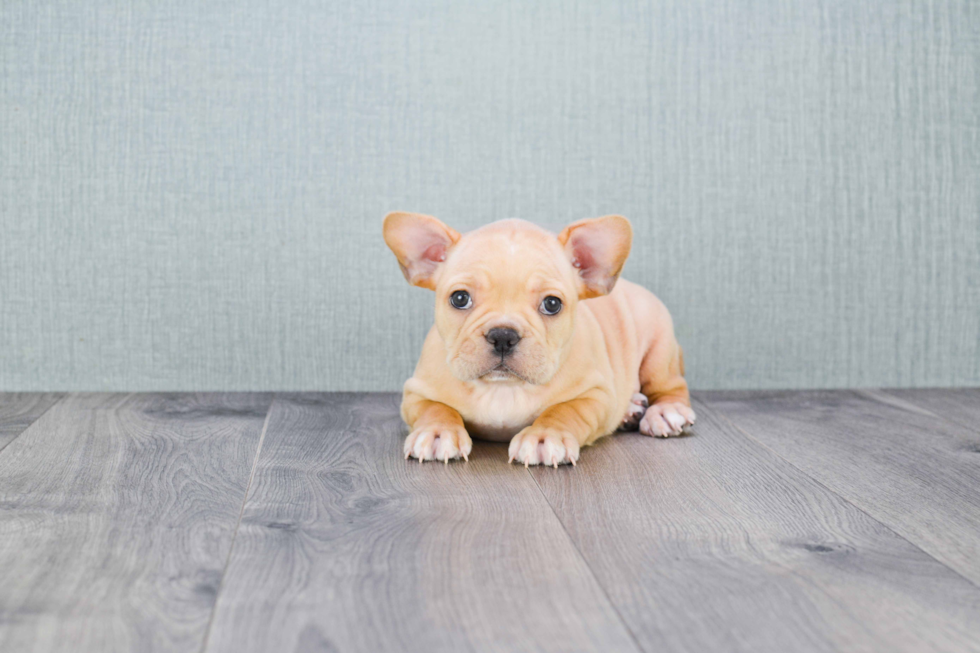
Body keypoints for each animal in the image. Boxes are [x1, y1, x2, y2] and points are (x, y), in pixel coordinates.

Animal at [378, 211, 692, 466]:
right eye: (459, 298)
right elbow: (435, 408)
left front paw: (545, 436)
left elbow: (564, 410)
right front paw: (437, 431)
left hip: (659, 348)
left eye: (552, 304)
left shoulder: (595, 395)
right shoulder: (417, 393)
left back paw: (664, 412)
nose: (503, 335)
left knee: (670, 386)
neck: (503, 388)